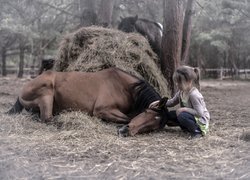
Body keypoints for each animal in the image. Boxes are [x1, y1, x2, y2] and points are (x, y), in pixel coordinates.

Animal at [7, 67, 176, 136]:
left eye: (154, 127)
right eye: (146, 112)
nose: (126, 131)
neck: (124, 87)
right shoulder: (102, 109)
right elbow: (127, 117)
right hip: (46, 92)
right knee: (47, 118)